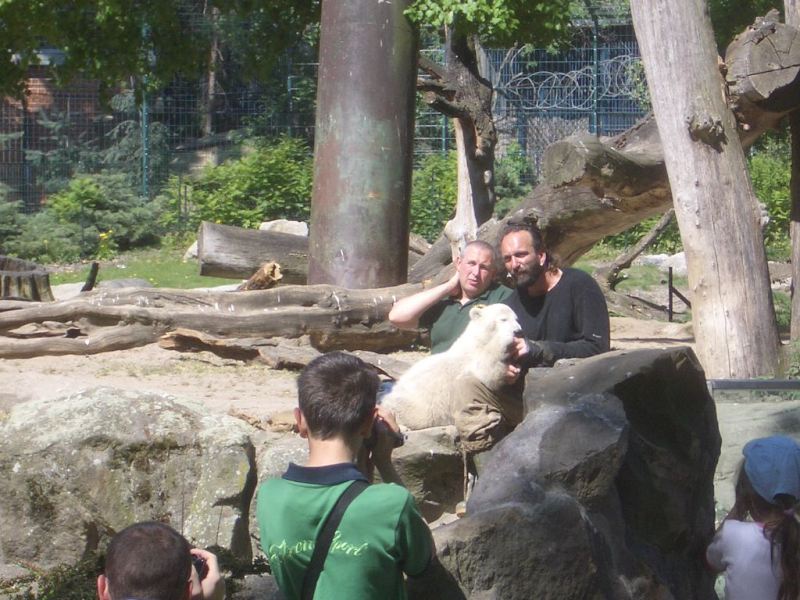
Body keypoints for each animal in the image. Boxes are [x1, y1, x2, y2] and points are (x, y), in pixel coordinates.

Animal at [381, 302, 522, 430]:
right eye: (503, 319)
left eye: (516, 318)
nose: (518, 331)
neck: (479, 339)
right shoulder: (469, 357)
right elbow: (486, 371)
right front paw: (506, 338)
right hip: (417, 405)